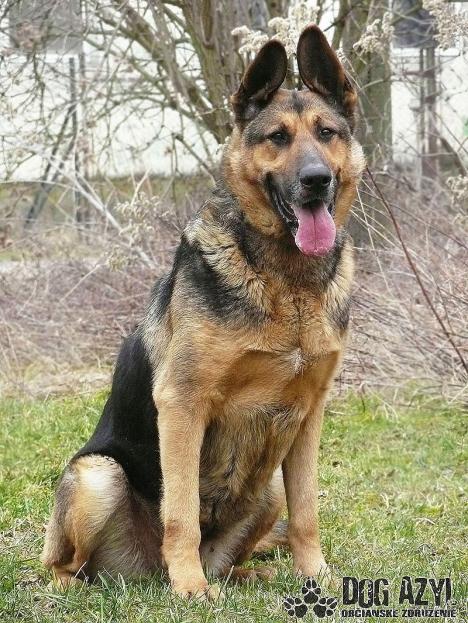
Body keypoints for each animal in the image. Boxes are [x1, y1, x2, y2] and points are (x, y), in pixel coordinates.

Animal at [42, 25, 365, 600]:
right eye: (277, 137)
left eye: (327, 133)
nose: (316, 180)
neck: (286, 280)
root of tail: (144, 572)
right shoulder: (182, 404)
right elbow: (182, 512)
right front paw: (190, 589)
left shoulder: (309, 417)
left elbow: (307, 512)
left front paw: (317, 578)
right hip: (98, 475)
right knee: (67, 564)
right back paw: (95, 585)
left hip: (266, 488)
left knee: (238, 551)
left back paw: (246, 573)